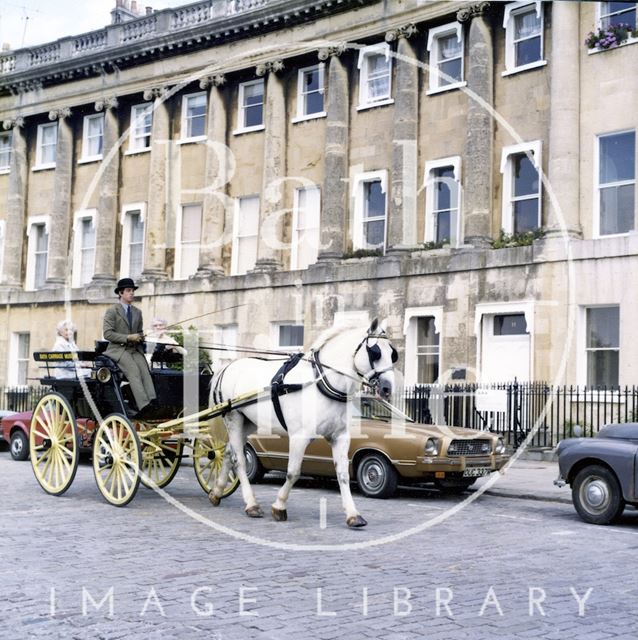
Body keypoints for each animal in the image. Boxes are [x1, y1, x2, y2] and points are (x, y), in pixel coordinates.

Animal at [210, 318, 398, 524]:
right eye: (375, 352)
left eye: (392, 354)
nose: (388, 388)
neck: (321, 383)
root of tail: (228, 367)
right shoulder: (299, 437)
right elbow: (293, 472)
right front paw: (279, 506)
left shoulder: (340, 436)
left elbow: (343, 474)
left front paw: (353, 514)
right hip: (234, 418)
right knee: (239, 461)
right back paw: (251, 504)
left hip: (249, 422)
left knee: (228, 452)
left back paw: (217, 491)